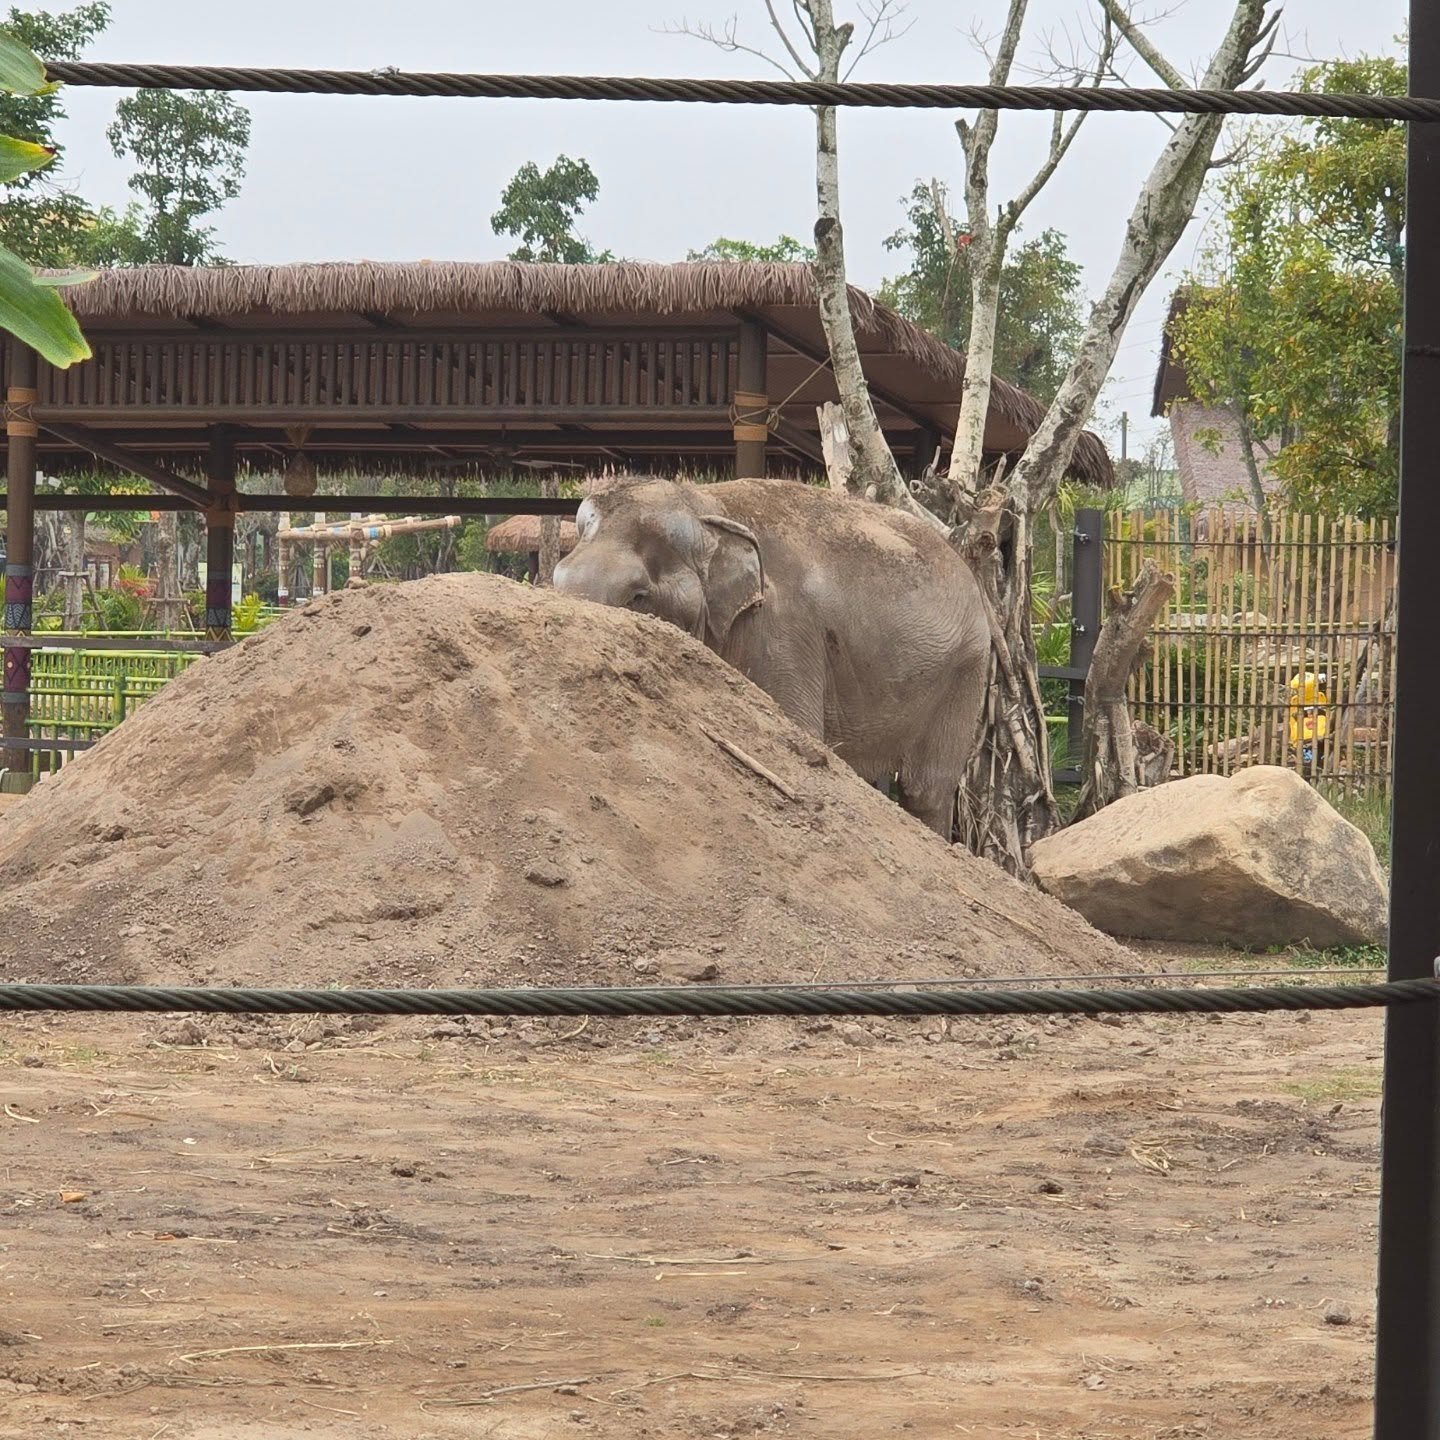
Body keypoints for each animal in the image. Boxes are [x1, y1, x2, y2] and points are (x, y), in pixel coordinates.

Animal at [551, 477, 989, 838]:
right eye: (555, 579)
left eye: (638, 596)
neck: (704, 503)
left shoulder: (785, 630)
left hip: (966, 672)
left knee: (927, 791)